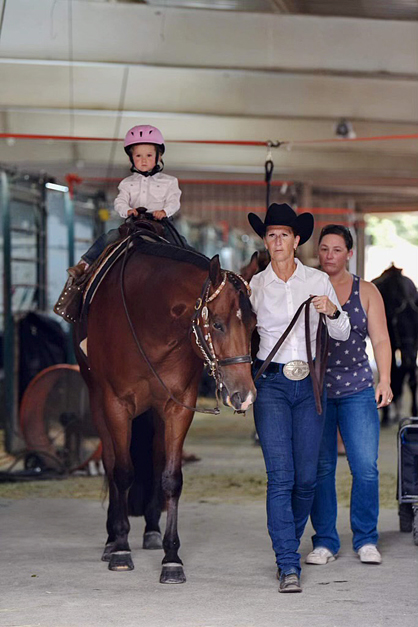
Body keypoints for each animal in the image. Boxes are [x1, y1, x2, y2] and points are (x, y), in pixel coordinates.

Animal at [74, 239, 256, 584]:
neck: (147, 318)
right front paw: (120, 550)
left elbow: (171, 478)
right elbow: (123, 471)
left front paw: (172, 559)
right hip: (97, 400)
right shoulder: (116, 403)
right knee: (111, 463)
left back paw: (152, 532)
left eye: (254, 326)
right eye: (217, 323)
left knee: (156, 459)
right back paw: (111, 540)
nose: (245, 395)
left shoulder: (177, 406)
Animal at [372, 264, 418, 426]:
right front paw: (386, 415)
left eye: (416, 327)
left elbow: (411, 378)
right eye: (400, 326)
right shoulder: (391, 342)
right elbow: (392, 372)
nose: (410, 358)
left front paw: (414, 411)